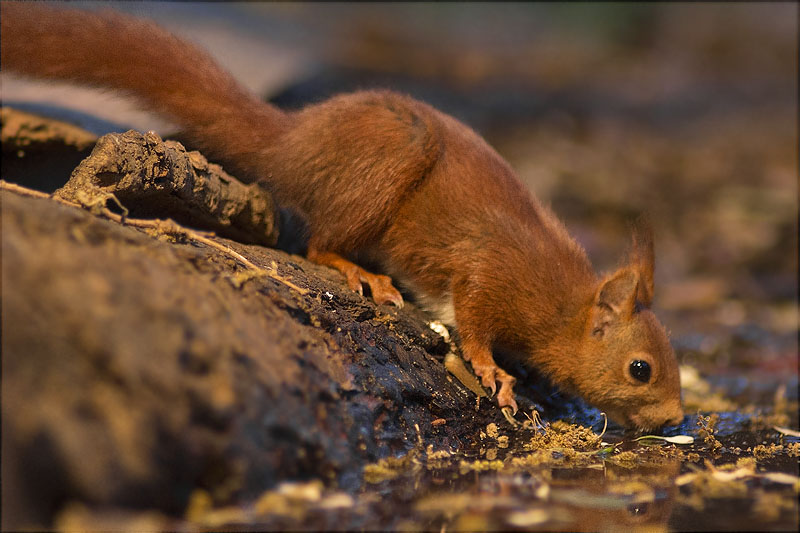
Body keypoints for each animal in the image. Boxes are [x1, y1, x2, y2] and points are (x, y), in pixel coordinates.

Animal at [3, 3, 684, 428]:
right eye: (641, 370)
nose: (678, 418)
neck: (566, 306)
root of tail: (294, 142)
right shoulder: (495, 270)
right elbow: (473, 316)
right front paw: (495, 371)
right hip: (394, 156)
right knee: (319, 244)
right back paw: (362, 274)